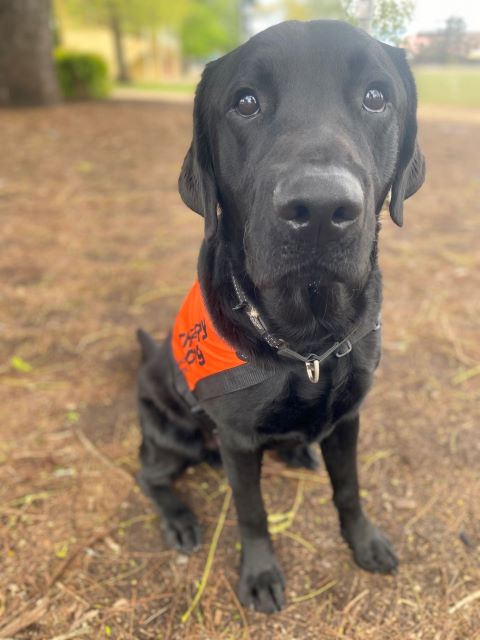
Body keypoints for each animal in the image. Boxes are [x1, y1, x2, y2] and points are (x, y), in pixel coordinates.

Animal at [137, 20, 426, 612]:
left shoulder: (350, 417)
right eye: (245, 102)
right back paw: (178, 519)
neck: (308, 343)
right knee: (148, 474)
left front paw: (363, 541)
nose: (319, 209)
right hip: (173, 432)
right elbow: (252, 512)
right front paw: (260, 573)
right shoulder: (237, 440)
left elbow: (349, 488)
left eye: (376, 97)